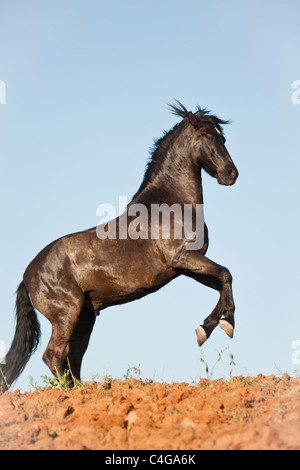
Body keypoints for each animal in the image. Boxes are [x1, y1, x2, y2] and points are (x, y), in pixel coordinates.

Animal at [0, 101, 239, 392]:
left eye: (223, 137)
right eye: (209, 137)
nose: (231, 174)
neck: (172, 205)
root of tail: (27, 277)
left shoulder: (187, 267)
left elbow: (222, 282)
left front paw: (211, 326)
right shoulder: (183, 258)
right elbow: (226, 273)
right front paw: (218, 326)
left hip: (85, 317)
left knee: (72, 359)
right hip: (67, 314)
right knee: (54, 355)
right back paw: (71, 394)